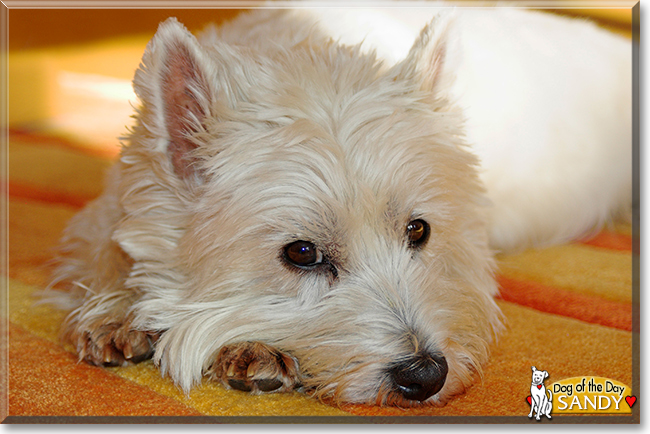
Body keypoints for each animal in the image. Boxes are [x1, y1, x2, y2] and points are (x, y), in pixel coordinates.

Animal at [48, 6, 632, 406]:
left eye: (418, 230)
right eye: (302, 253)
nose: (425, 376)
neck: (305, 50)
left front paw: (252, 349)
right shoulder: (111, 206)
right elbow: (105, 250)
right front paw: (113, 313)